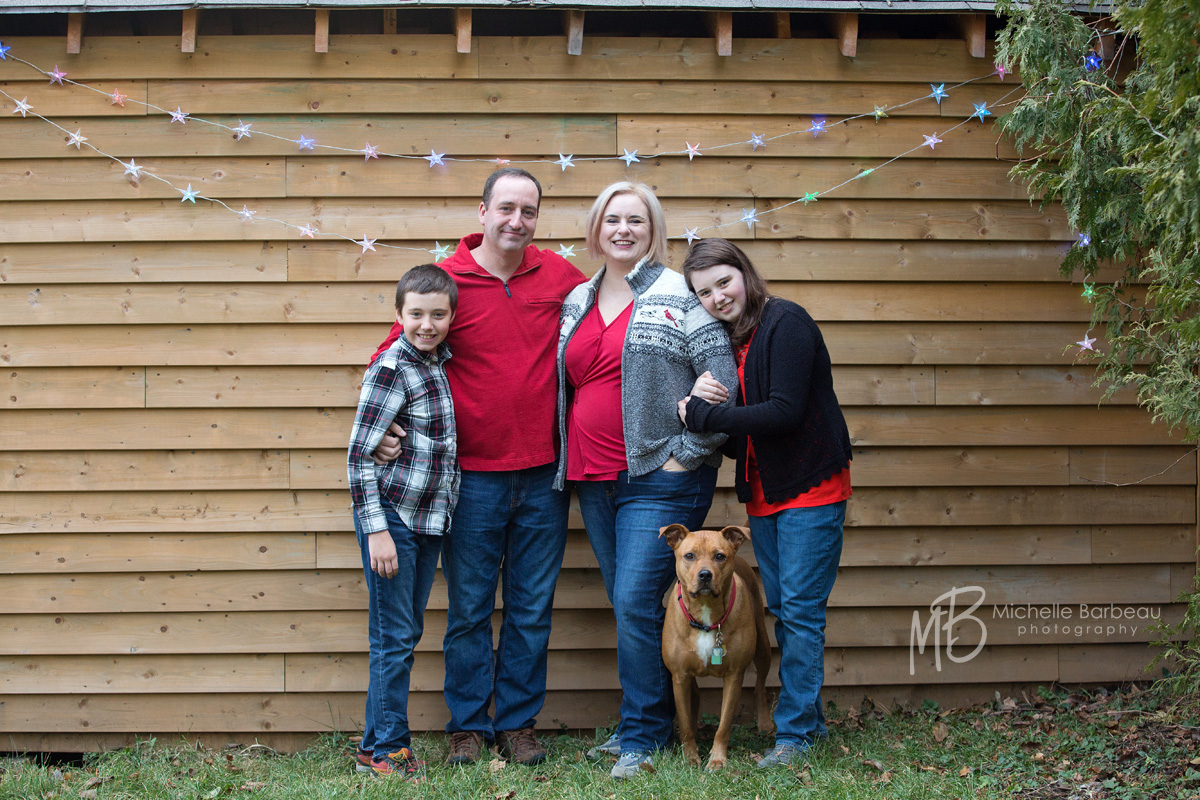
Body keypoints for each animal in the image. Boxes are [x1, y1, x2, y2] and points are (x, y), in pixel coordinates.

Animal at [662, 522, 772, 772]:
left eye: (719, 556)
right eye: (689, 556)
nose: (705, 574)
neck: (705, 612)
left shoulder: (734, 675)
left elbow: (724, 724)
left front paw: (717, 759)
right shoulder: (679, 676)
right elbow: (684, 722)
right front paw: (690, 757)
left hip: (763, 647)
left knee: (760, 686)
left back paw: (764, 722)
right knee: (694, 698)